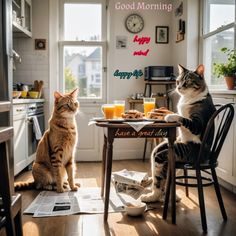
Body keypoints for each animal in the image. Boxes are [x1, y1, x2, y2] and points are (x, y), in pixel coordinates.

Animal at [140, 64, 216, 203]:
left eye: (187, 82)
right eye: (177, 81)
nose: (178, 87)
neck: (187, 98)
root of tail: (206, 159)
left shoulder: (197, 124)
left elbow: (182, 118)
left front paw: (168, 116)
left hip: (178, 152)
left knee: (161, 177)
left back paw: (158, 197)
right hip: (162, 150)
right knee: (160, 176)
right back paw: (155, 194)